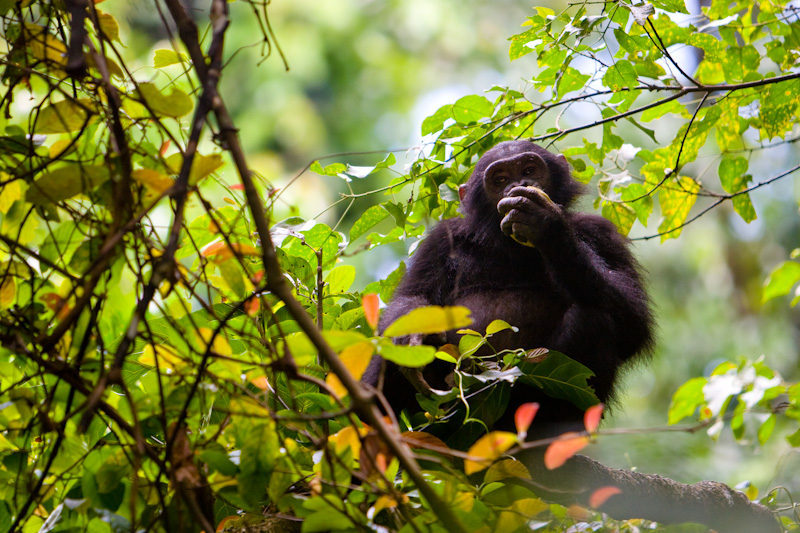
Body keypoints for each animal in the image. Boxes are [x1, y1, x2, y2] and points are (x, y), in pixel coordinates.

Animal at [362, 139, 656, 438]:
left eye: (529, 169)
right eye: (500, 179)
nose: (519, 184)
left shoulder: (602, 233)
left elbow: (633, 320)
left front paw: (546, 223)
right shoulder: (439, 242)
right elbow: (415, 296)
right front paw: (413, 336)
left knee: (593, 319)